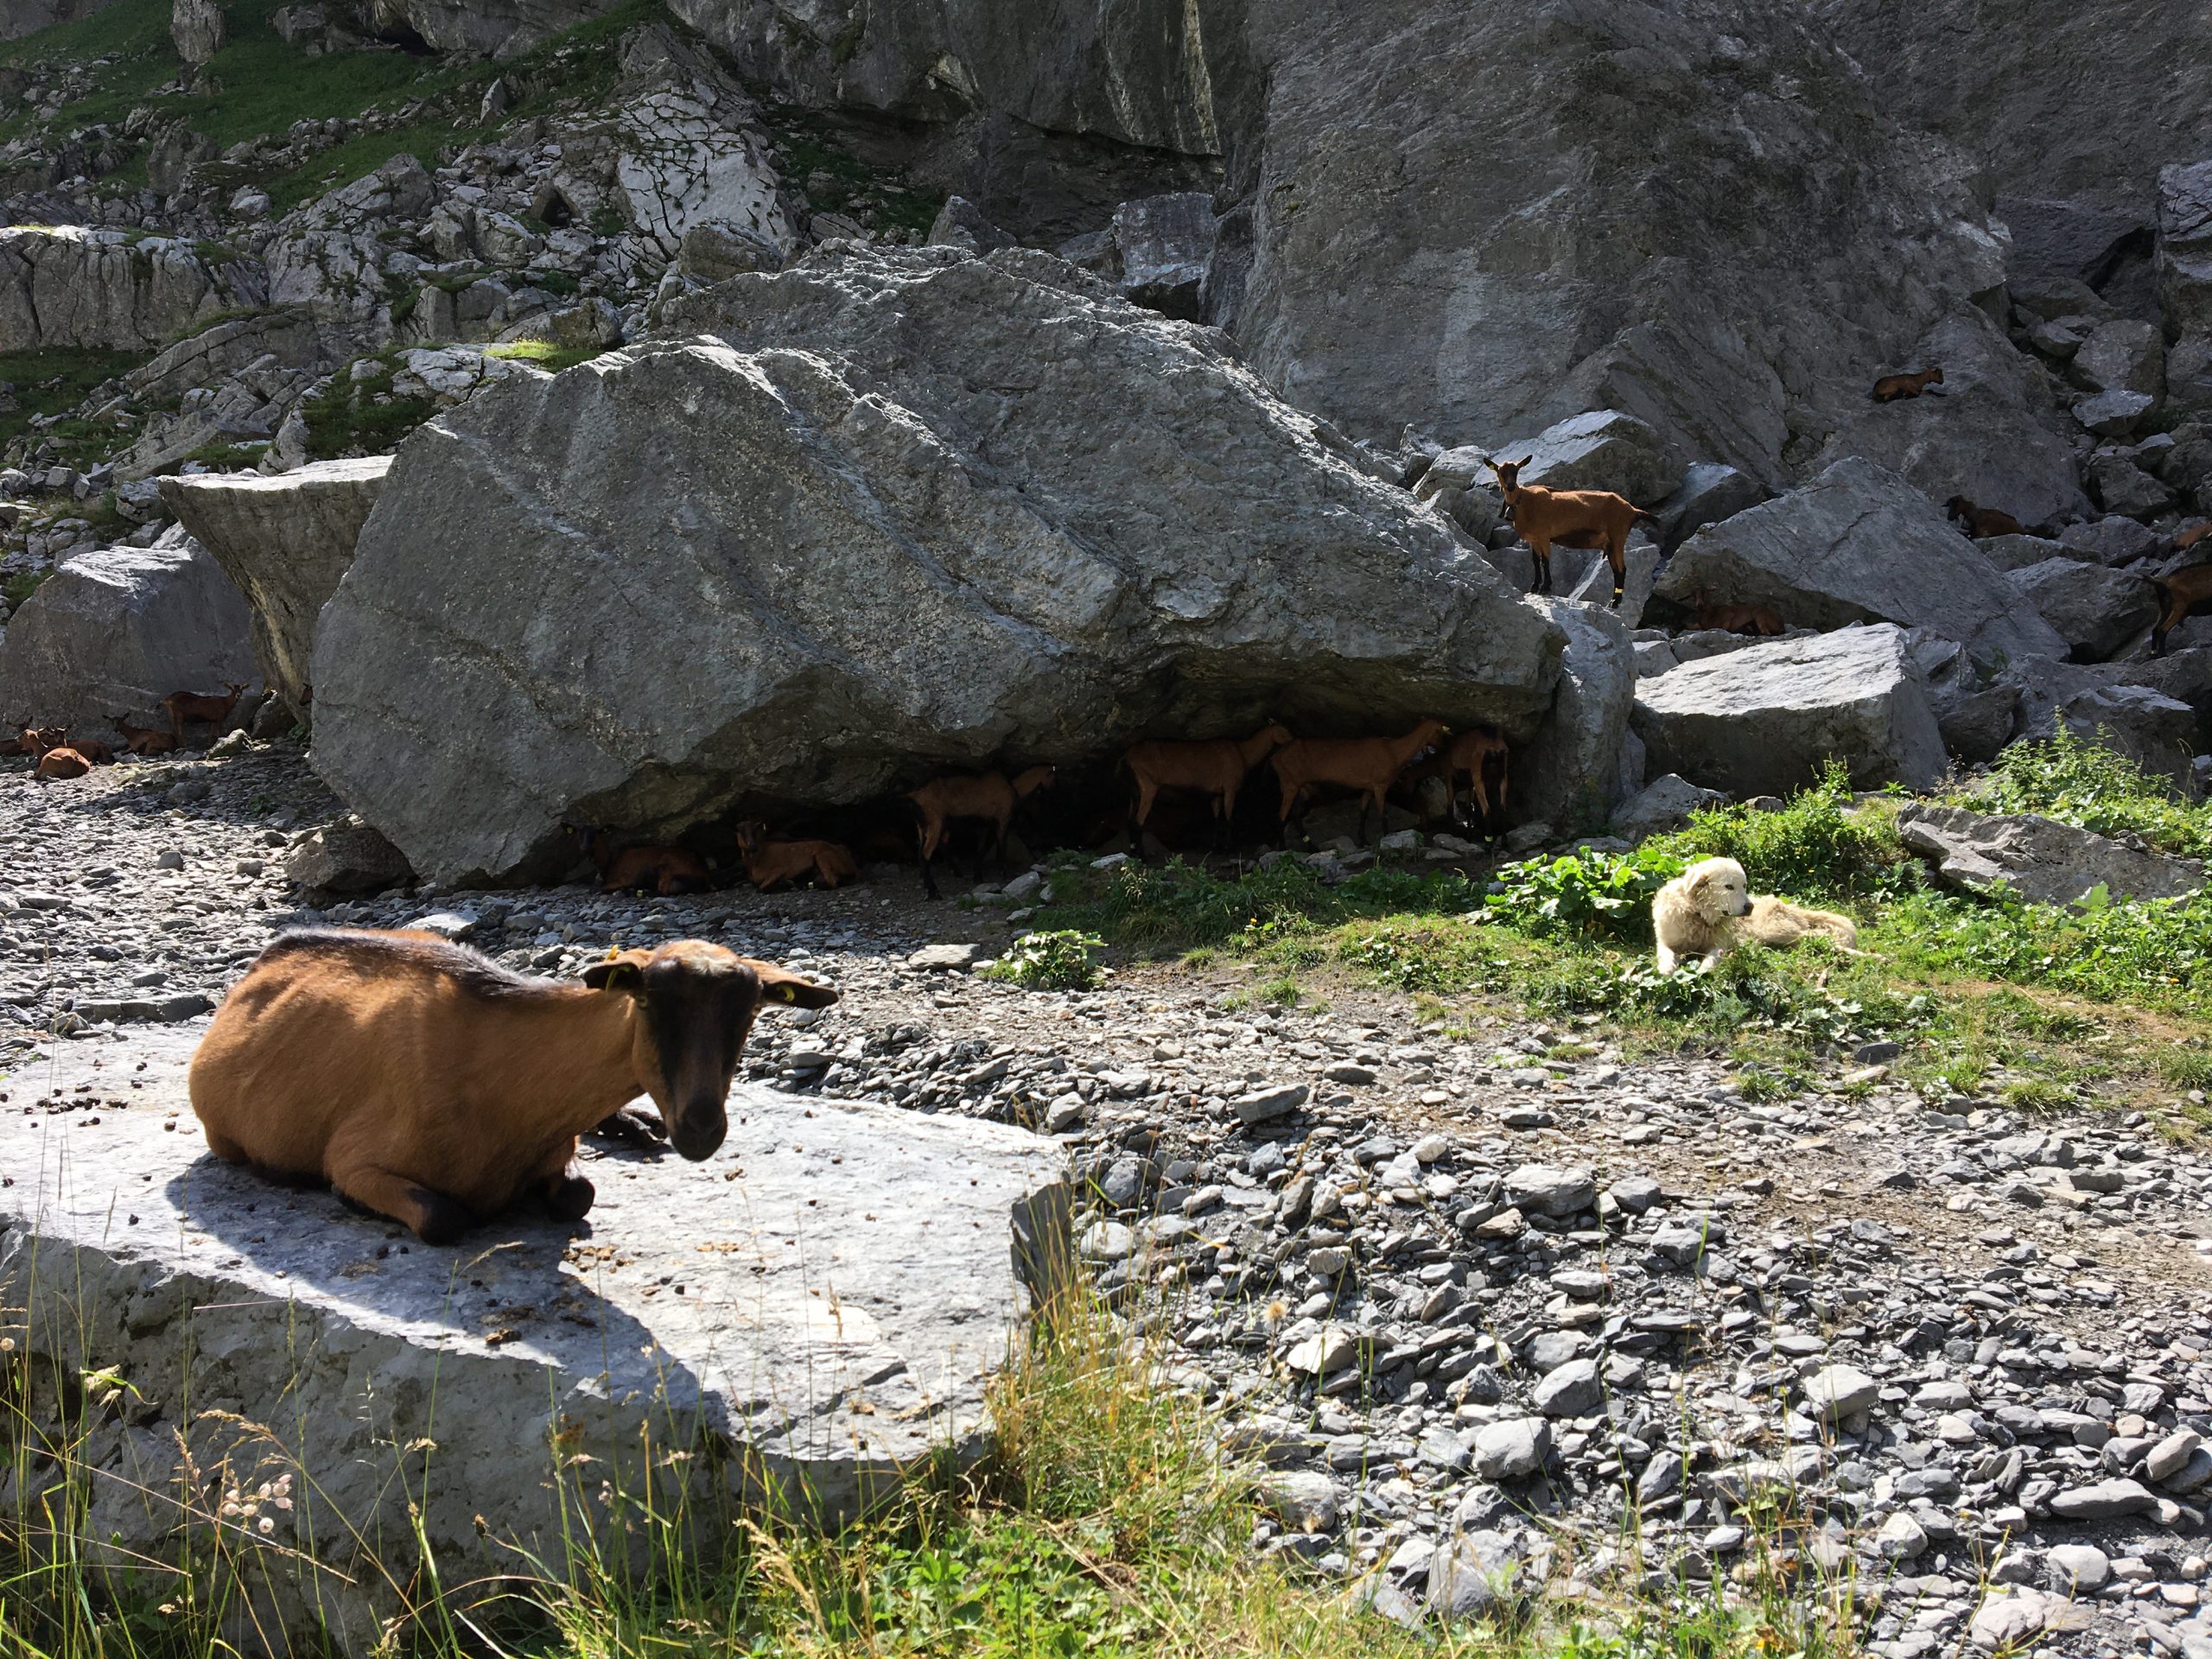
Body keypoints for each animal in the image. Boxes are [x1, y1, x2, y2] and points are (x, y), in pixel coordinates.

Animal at [183, 929, 831, 1238]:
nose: (700, 1128)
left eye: (750, 1014)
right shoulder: (355, 1158)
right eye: (647, 1003)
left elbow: (578, 1194)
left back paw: (633, 1124)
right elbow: (443, 1217)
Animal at [911, 765, 1057, 898]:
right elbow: (1001, 846)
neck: (1013, 787)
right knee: (925, 854)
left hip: (924, 826)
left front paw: (978, 876)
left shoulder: (985, 825)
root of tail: (916, 796)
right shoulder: (1002, 819)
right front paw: (1005, 873)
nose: (1051, 796)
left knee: (924, 849)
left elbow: (982, 848)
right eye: (1054, 778)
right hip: (935, 822)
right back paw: (933, 892)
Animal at [1123, 721, 1292, 849]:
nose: (1292, 741)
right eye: (1282, 732)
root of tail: (1128, 756)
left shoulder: (1217, 793)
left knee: (1130, 821)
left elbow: (1216, 819)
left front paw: (1215, 845)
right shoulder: (1230, 787)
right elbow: (1229, 818)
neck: (1244, 755)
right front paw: (1229, 847)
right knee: (1138, 822)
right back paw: (1142, 856)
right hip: (1148, 785)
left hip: (1134, 791)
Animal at [1274, 716, 1442, 844]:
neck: (1394, 751)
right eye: (1442, 731)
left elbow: (1363, 812)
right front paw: (1386, 837)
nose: (1443, 747)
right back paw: (1283, 848)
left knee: (1295, 815)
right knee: (1281, 817)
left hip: (1303, 787)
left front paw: (1363, 840)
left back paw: (1311, 848)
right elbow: (1383, 814)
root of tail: (1275, 757)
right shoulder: (1380, 785)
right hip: (1289, 783)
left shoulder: (1368, 787)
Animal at [1495, 457, 1654, 606]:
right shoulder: (1534, 539)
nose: (1510, 486)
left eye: (1516, 471)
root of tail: (1633, 510)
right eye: (1500, 472)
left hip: (1618, 536)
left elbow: (1545, 561)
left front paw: (1545, 588)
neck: (1525, 501)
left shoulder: (1544, 536)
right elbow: (1535, 560)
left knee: (1622, 569)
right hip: (1611, 545)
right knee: (1616, 569)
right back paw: (1613, 601)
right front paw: (1534, 587)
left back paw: (1615, 603)